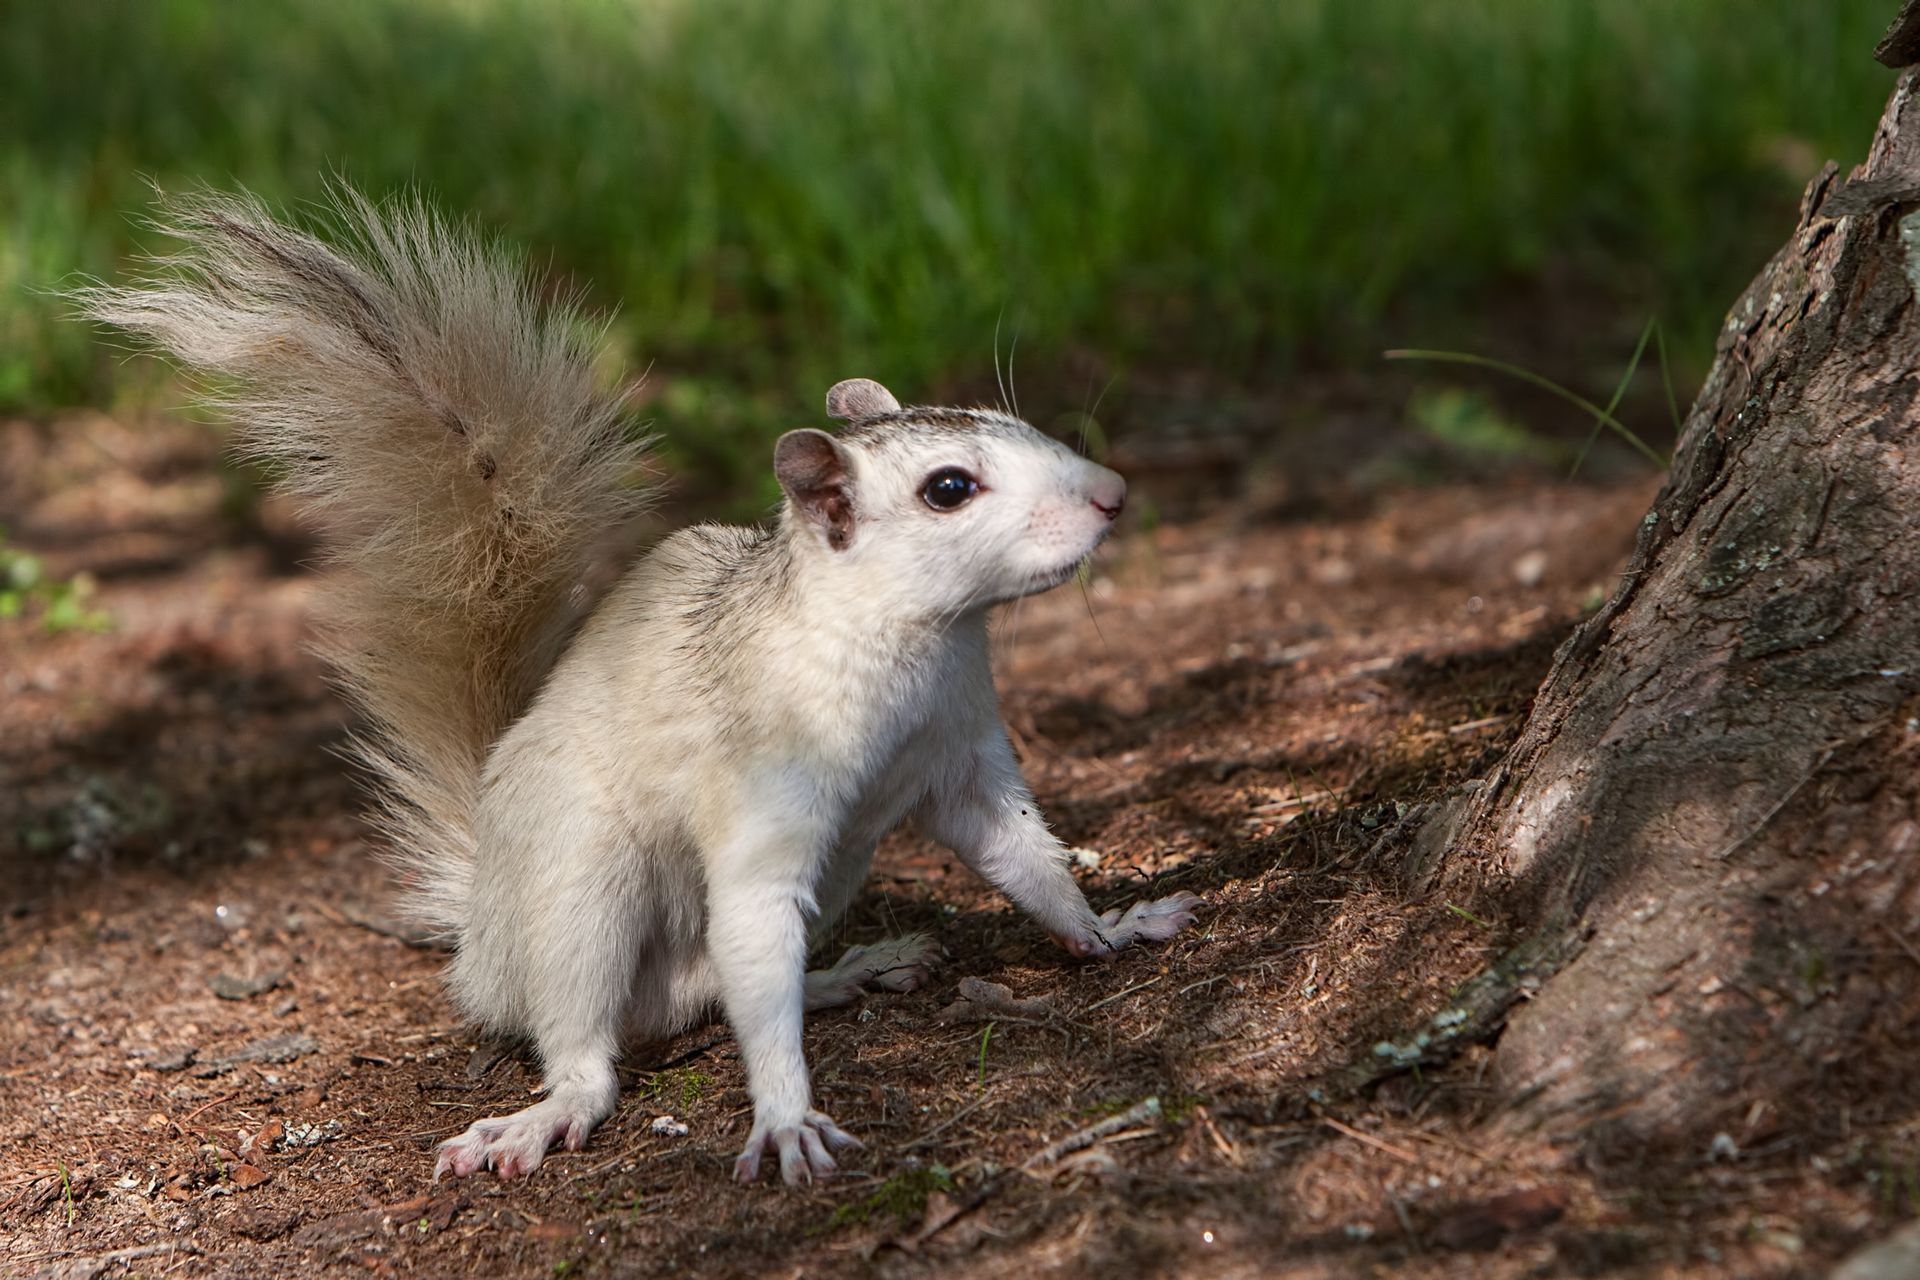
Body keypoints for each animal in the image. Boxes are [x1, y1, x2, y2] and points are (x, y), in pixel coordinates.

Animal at [81, 185, 1201, 1186]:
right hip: (582, 891)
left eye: (1007, 416)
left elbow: (1021, 855)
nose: (1114, 493)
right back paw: (548, 1111)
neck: (909, 644)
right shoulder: (765, 792)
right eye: (949, 489)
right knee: (601, 1038)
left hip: (821, 876)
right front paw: (785, 1115)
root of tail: (484, 924)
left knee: (708, 996)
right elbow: (754, 912)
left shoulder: (961, 755)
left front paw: (1109, 929)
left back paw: (844, 971)